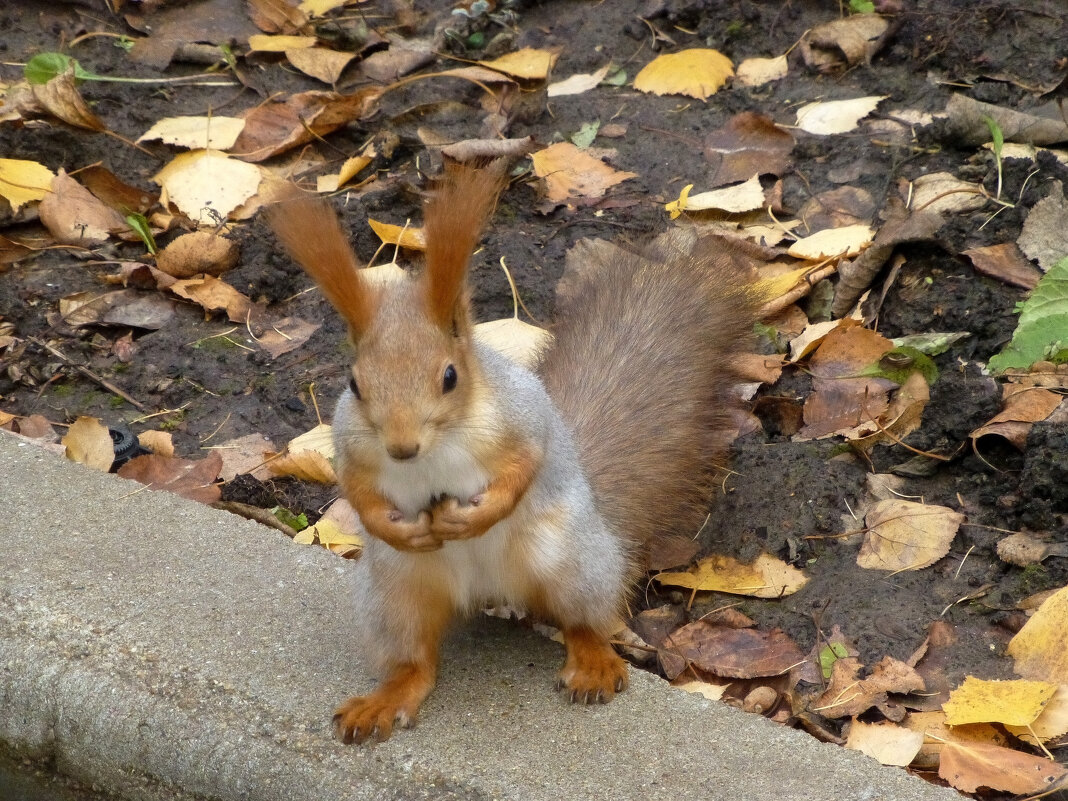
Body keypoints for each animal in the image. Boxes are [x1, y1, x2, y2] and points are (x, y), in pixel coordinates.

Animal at [267, 163, 760, 747]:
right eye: (355, 384)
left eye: (450, 376)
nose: (402, 448)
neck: (435, 450)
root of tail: (489, 591)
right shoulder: (352, 444)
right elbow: (357, 490)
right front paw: (393, 526)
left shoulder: (524, 420)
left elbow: (524, 468)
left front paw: (476, 516)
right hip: (395, 595)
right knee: (415, 662)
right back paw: (386, 699)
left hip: (571, 563)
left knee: (582, 620)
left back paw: (592, 660)